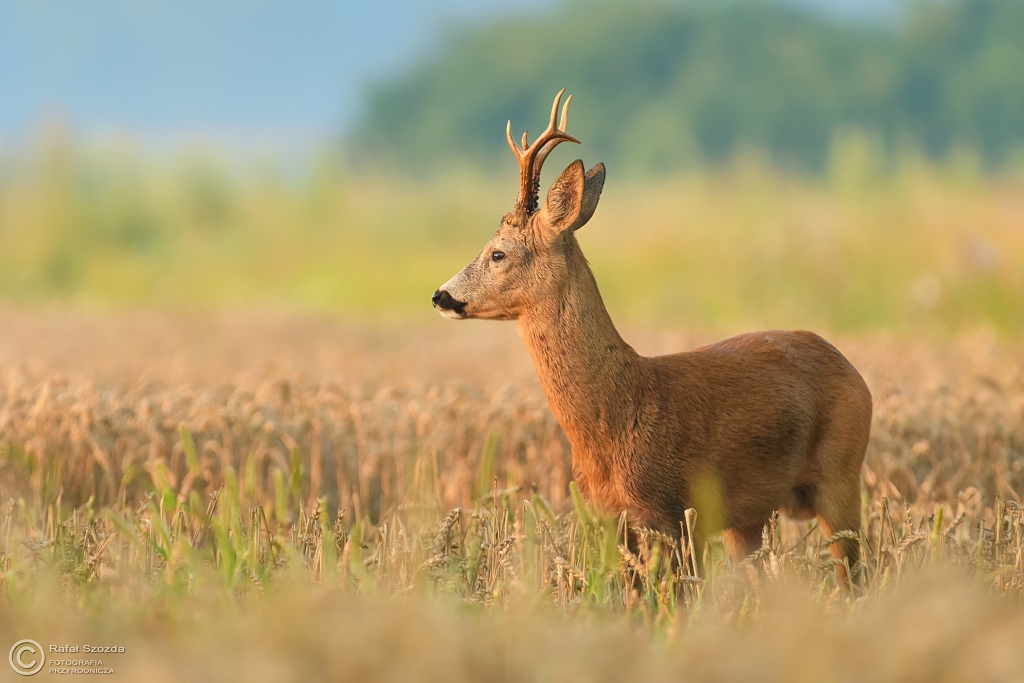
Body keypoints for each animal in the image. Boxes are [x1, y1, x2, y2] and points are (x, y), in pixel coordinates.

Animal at [432, 90, 872, 581]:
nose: (440, 295)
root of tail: (852, 369)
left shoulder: (676, 512)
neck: (618, 414)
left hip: (842, 476)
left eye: (497, 253)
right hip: (749, 518)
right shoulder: (612, 520)